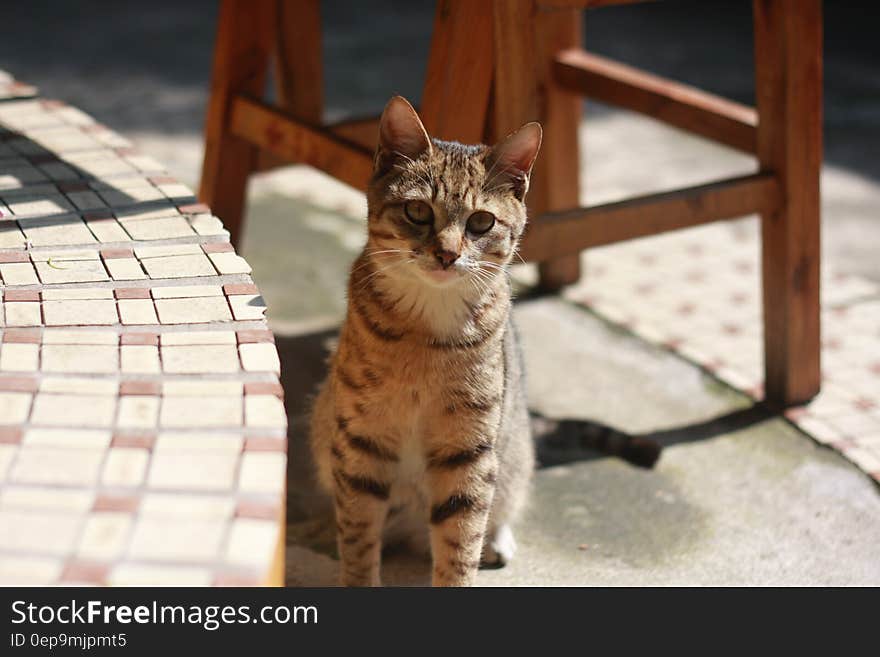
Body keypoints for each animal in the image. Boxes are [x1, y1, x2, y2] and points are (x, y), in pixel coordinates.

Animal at [312, 96, 540, 584]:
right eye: (418, 211)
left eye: (481, 222)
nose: (448, 254)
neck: (426, 335)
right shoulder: (362, 439)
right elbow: (358, 535)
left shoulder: (468, 451)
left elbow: (460, 543)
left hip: (512, 457)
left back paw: (498, 542)